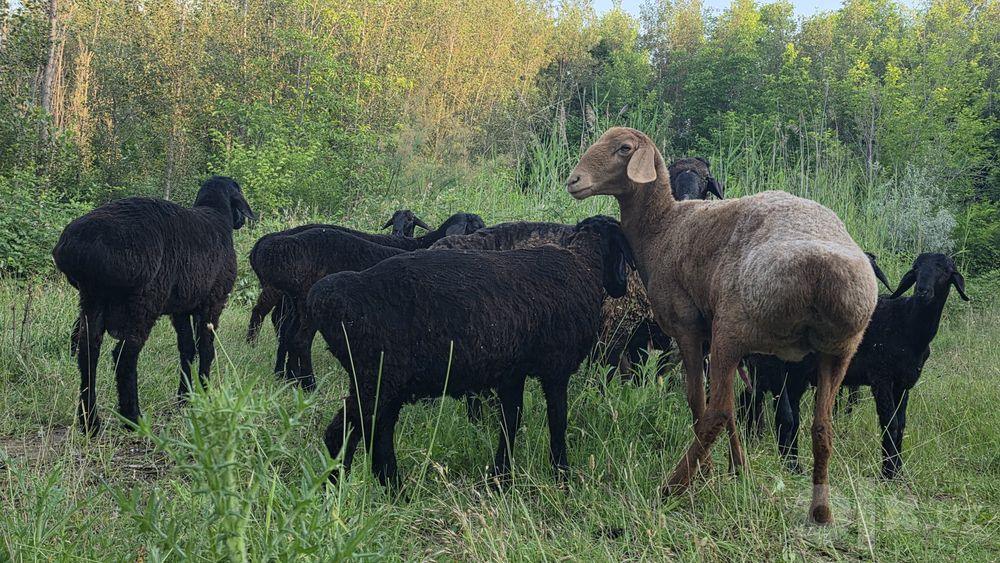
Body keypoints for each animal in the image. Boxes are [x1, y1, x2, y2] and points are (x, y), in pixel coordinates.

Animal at [53, 176, 255, 434]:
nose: (240, 221)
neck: (217, 214)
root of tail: (81, 248)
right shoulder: (213, 301)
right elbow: (206, 349)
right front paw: (205, 394)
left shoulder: (180, 308)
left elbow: (187, 348)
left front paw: (185, 397)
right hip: (144, 301)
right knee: (124, 356)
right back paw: (132, 418)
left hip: (92, 299)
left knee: (88, 353)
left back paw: (90, 422)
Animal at [249, 227, 406, 390]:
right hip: (306, 305)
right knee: (300, 340)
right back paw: (309, 384)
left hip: (296, 304)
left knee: (287, 335)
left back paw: (288, 376)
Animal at [308, 216, 634, 487]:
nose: (621, 287)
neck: (584, 265)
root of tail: (327, 298)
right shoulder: (556, 368)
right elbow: (558, 421)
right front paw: (561, 475)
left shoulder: (512, 374)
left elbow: (510, 421)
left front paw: (501, 477)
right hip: (377, 377)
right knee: (345, 433)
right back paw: (342, 490)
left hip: (379, 381)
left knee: (374, 434)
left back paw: (385, 490)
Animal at [566, 127, 878, 524]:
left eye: (624, 148)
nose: (574, 181)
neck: (663, 227)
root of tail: (822, 273)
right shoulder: (710, 337)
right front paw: (736, 469)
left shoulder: (688, 327)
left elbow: (697, 400)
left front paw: (712, 470)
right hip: (839, 349)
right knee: (821, 427)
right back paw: (820, 512)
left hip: (736, 328)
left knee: (717, 413)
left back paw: (671, 488)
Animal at [742, 253, 968, 478]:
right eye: (917, 269)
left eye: (945, 271)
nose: (922, 291)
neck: (906, 324)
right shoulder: (881, 377)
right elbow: (890, 423)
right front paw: (888, 473)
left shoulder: (903, 384)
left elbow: (901, 424)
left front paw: (898, 471)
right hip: (771, 366)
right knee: (778, 412)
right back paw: (784, 461)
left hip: (794, 374)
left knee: (786, 411)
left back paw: (792, 463)